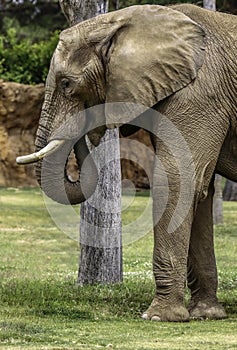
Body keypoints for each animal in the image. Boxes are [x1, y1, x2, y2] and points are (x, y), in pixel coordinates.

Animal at [15, 4, 237, 322]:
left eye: (67, 84)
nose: (87, 124)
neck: (119, 22)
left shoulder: (200, 94)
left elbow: (177, 181)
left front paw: (158, 317)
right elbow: (200, 190)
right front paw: (206, 314)